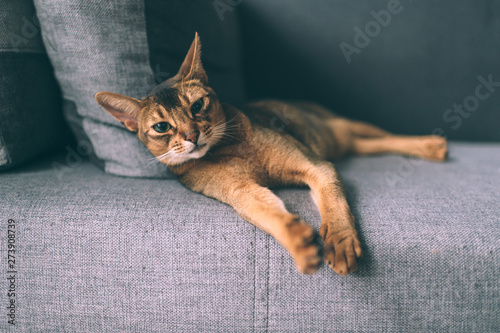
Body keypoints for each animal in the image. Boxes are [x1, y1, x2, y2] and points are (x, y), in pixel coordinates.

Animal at [95, 32, 448, 274]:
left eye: (197, 106)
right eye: (161, 127)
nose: (192, 136)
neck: (227, 150)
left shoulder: (317, 166)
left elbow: (334, 205)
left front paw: (341, 241)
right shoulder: (241, 192)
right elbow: (269, 213)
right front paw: (298, 241)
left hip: (338, 125)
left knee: (382, 136)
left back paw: (430, 145)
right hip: (338, 140)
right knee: (365, 145)